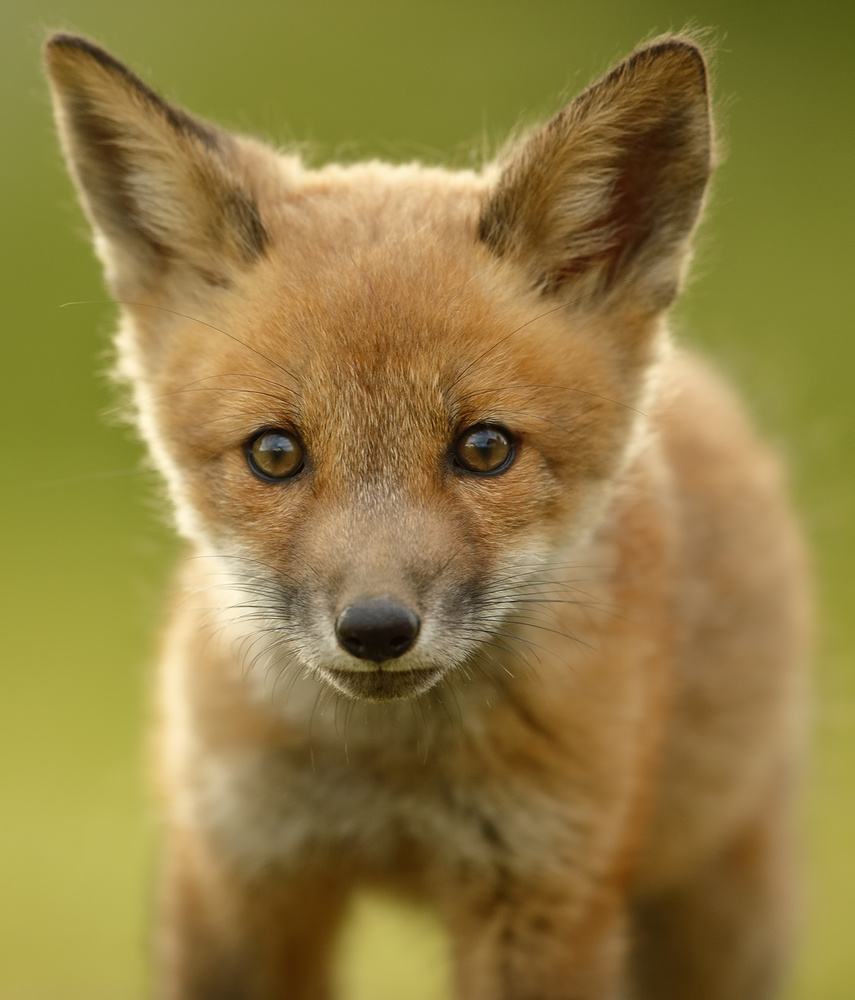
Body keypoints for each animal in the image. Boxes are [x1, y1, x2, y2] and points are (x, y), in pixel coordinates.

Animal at [45, 33, 808, 1000]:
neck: (390, 776)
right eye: (274, 453)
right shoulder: (237, 873)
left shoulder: (545, 891)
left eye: (483, 449)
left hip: (722, 911)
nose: (375, 630)